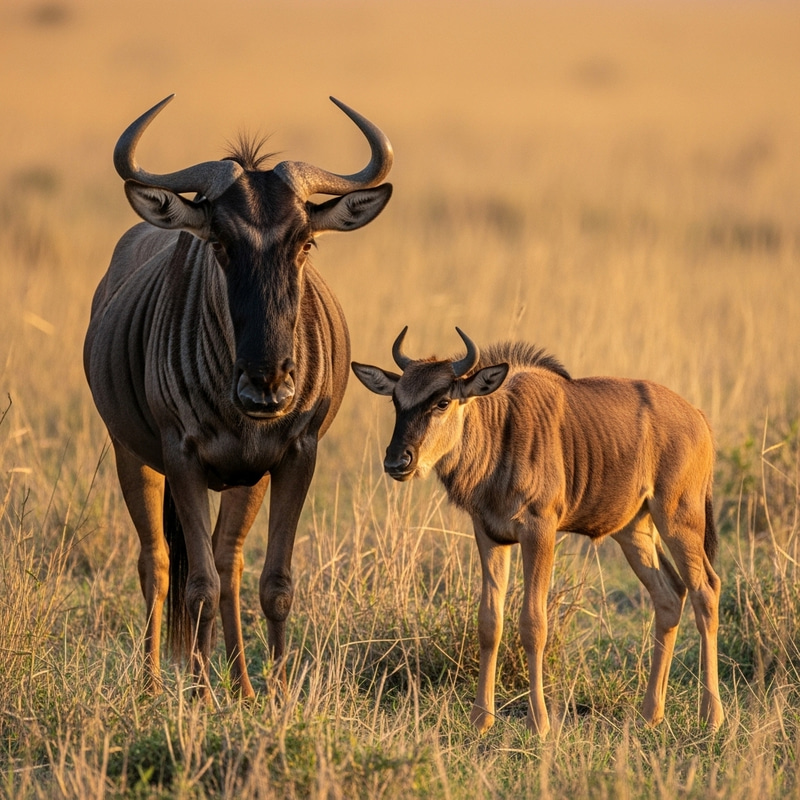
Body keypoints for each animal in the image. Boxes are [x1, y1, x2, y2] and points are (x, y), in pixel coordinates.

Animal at [84, 95, 393, 697]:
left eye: (306, 242)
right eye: (220, 244)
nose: (267, 385)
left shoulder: (294, 456)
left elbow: (273, 583)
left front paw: (276, 695)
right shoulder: (182, 457)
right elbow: (196, 586)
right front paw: (199, 697)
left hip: (244, 480)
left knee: (230, 563)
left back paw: (243, 687)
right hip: (133, 456)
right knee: (157, 564)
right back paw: (156, 685)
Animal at [351, 327, 724, 736]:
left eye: (442, 402)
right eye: (397, 401)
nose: (396, 461)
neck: (499, 432)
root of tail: (699, 419)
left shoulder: (539, 532)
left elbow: (533, 623)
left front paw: (539, 722)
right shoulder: (491, 536)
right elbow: (489, 621)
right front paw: (481, 718)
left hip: (679, 519)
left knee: (705, 590)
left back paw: (712, 716)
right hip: (633, 531)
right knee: (669, 596)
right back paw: (650, 714)